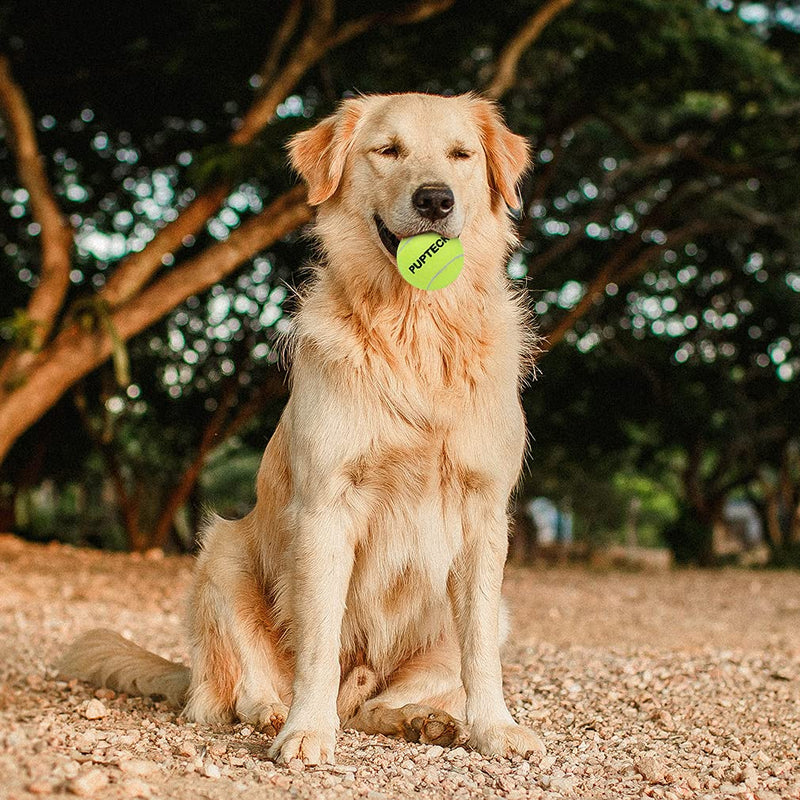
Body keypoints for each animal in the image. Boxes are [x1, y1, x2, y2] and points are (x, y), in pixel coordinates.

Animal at [59, 90, 540, 764]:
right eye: (387, 150)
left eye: (461, 155)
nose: (435, 200)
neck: (416, 329)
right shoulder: (325, 507)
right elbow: (318, 643)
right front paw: (307, 731)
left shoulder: (483, 514)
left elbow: (478, 657)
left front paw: (494, 728)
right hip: (222, 552)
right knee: (229, 694)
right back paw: (272, 713)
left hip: (497, 613)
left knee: (374, 705)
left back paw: (422, 721)